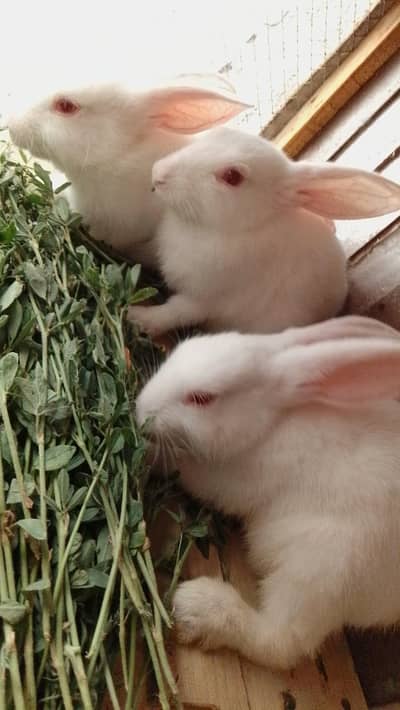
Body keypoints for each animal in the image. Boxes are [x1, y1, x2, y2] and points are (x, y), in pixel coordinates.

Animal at [128, 126, 400, 335]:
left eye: (232, 176)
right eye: (220, 132)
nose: (158, 173)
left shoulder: (203, 299)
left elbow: (173, 313)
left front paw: (137, 317)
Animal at [136, 314, 400, 669]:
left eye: (203, 398)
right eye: (182, 348)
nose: (140, 408)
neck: (273, 423)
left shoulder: (228, 480)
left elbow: (189, 471)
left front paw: (149, 456)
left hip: (324, 567)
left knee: (283, 642)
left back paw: (197, 609)